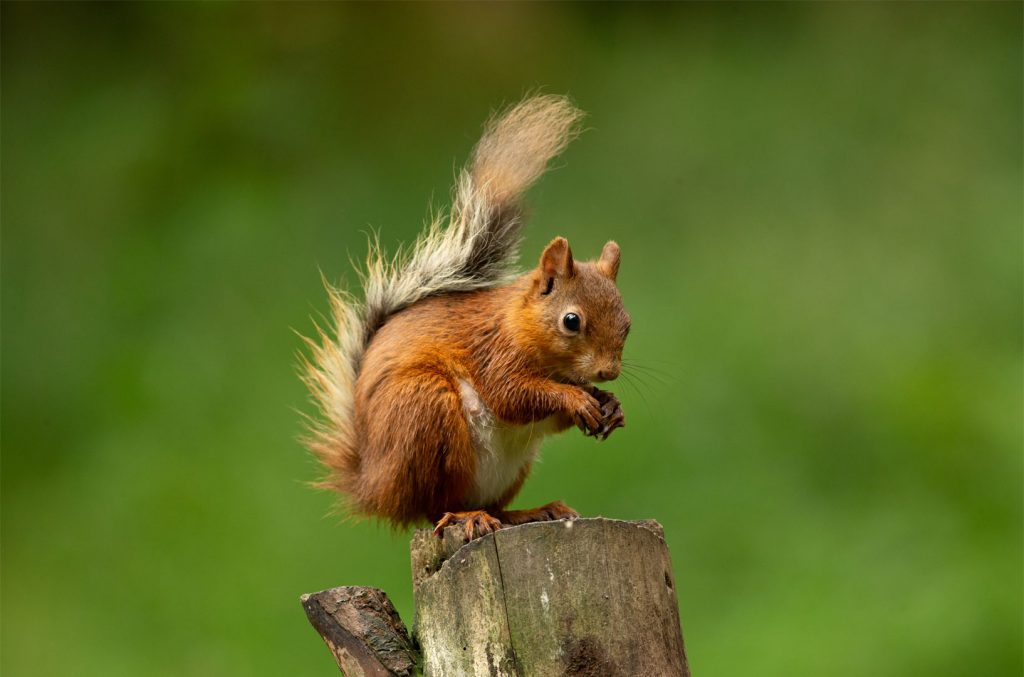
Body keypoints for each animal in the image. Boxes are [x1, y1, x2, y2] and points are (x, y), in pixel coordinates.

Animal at [302, 95, 630, 541]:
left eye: (627, 324)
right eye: (571, 321)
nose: (608, 372)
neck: (519, 324)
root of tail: (375, 486)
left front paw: (609, 404)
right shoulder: (494, 353)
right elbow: (512, 395)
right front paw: (577, 398)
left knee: (494, 507)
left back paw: (528, 512)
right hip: (425, 409)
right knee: (433, 508)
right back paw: (466, 516)